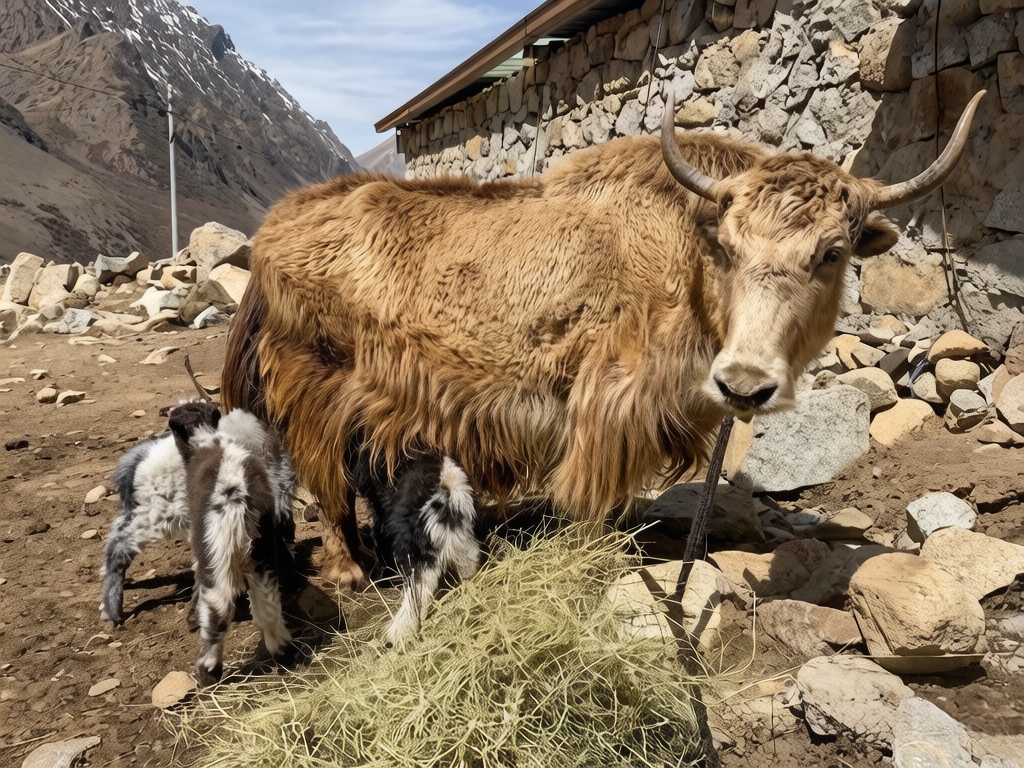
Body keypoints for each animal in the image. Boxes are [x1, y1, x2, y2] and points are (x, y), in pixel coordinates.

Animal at [222, 91, 984, 588]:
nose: (744, 384)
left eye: (832, 252)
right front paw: (596, 562)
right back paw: (352, 570)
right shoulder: (607, 406)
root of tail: (273, 229)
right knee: (324, 476)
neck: (688, 262)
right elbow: (595, 499)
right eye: (730, 246)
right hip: (313, 381)